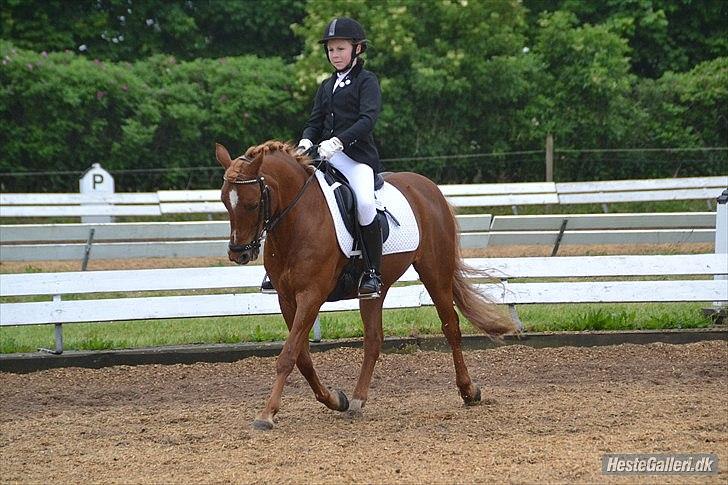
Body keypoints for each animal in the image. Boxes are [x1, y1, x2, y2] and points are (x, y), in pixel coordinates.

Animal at [213, 141, 516, 432]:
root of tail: (428, 187)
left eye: (252, 203)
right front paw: (336, 399)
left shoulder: (311, 296)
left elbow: (288, 356)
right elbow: (302, 358)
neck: (297, 219)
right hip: (374, 291)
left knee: (451, 327)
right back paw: (358, 400)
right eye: (225, 201)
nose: (238, 254)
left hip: (435, 272)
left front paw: (266, 415)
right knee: (373, 339)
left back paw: (468, 391)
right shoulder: (287, 299)